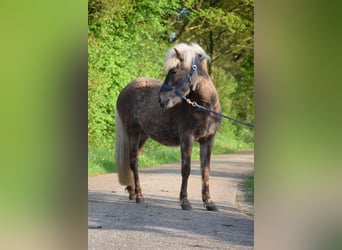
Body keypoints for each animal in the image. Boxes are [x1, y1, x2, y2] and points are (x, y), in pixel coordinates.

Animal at [115, 43, 222, 211]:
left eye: (174, 71)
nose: (161, 100)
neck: (204, 108)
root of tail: (125, 90)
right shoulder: (187, 139)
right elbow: (186, 169)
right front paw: (185, 202)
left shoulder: (208, 140)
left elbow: (205, 171)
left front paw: (209, 203)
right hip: (132, 131)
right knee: (133, 162)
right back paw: (140, 196)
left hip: (143, 135)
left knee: (133, 160)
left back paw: (133, 192)